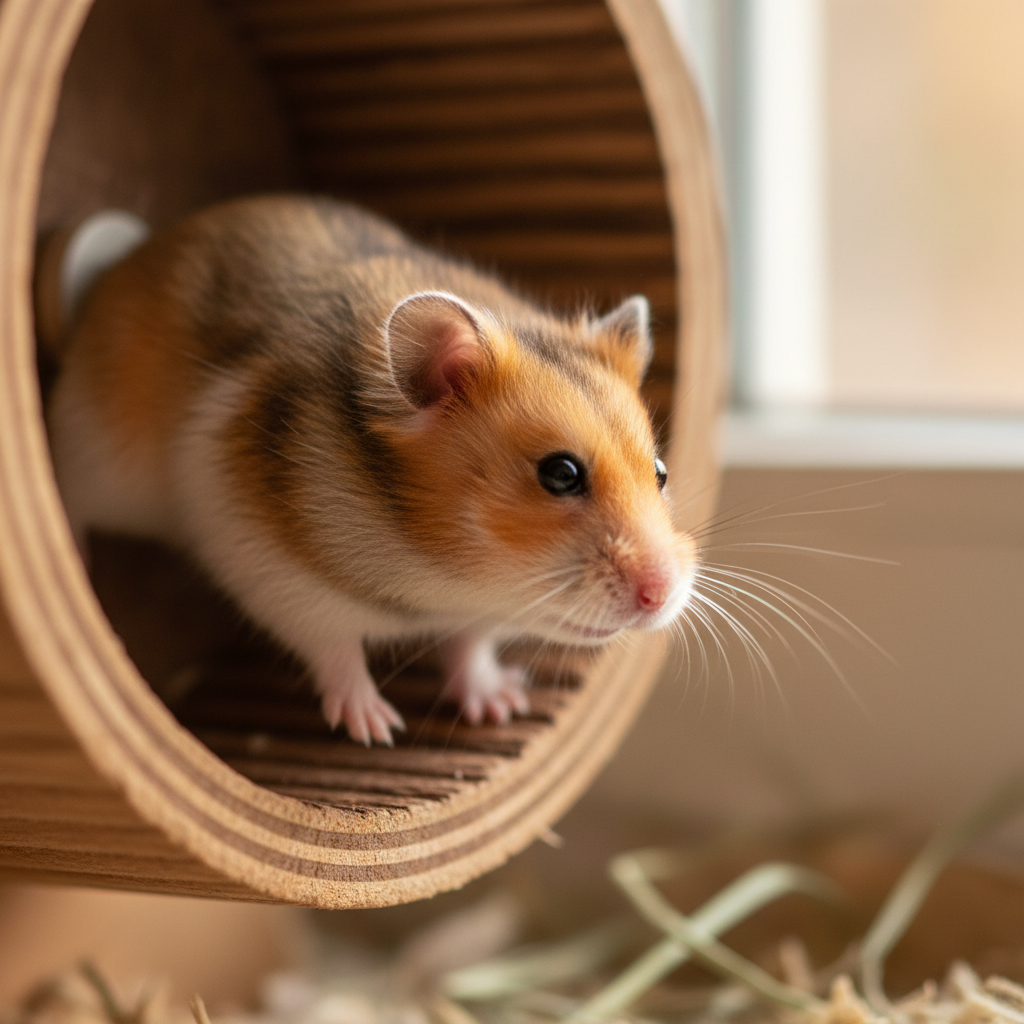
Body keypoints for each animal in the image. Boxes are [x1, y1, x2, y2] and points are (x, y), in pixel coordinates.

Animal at [47, 195, 697, 745]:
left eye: (661, 471)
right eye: (560, 474)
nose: (661, 595)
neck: (440, 571)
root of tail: (128, 260)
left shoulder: (470, 617)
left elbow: (468, 647)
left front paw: (500, 706)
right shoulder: (275, 575)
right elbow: (336, 650)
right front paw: (377, 729)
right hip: (102, 457)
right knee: (68, 483)